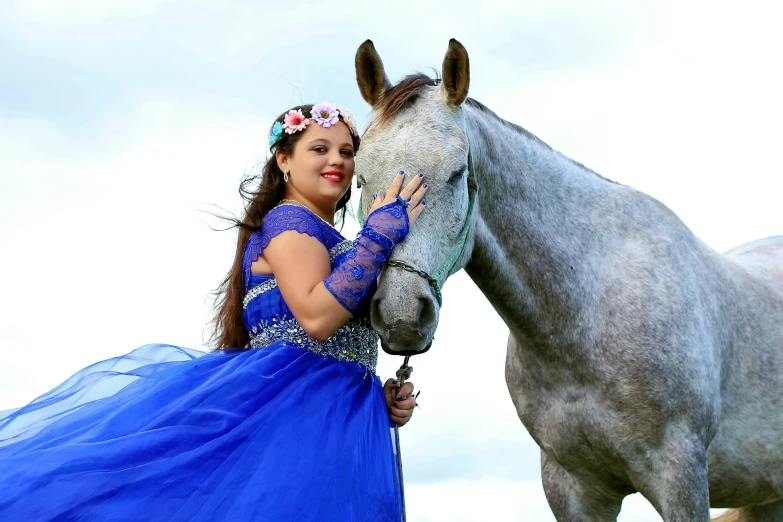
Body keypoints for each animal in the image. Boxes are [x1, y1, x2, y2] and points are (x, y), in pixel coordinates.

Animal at [356, 39, 783, 520]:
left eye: (457, 173)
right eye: (360, 176)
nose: (401, 315)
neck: (587, 314)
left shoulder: (681, 476)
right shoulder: (571, 486)